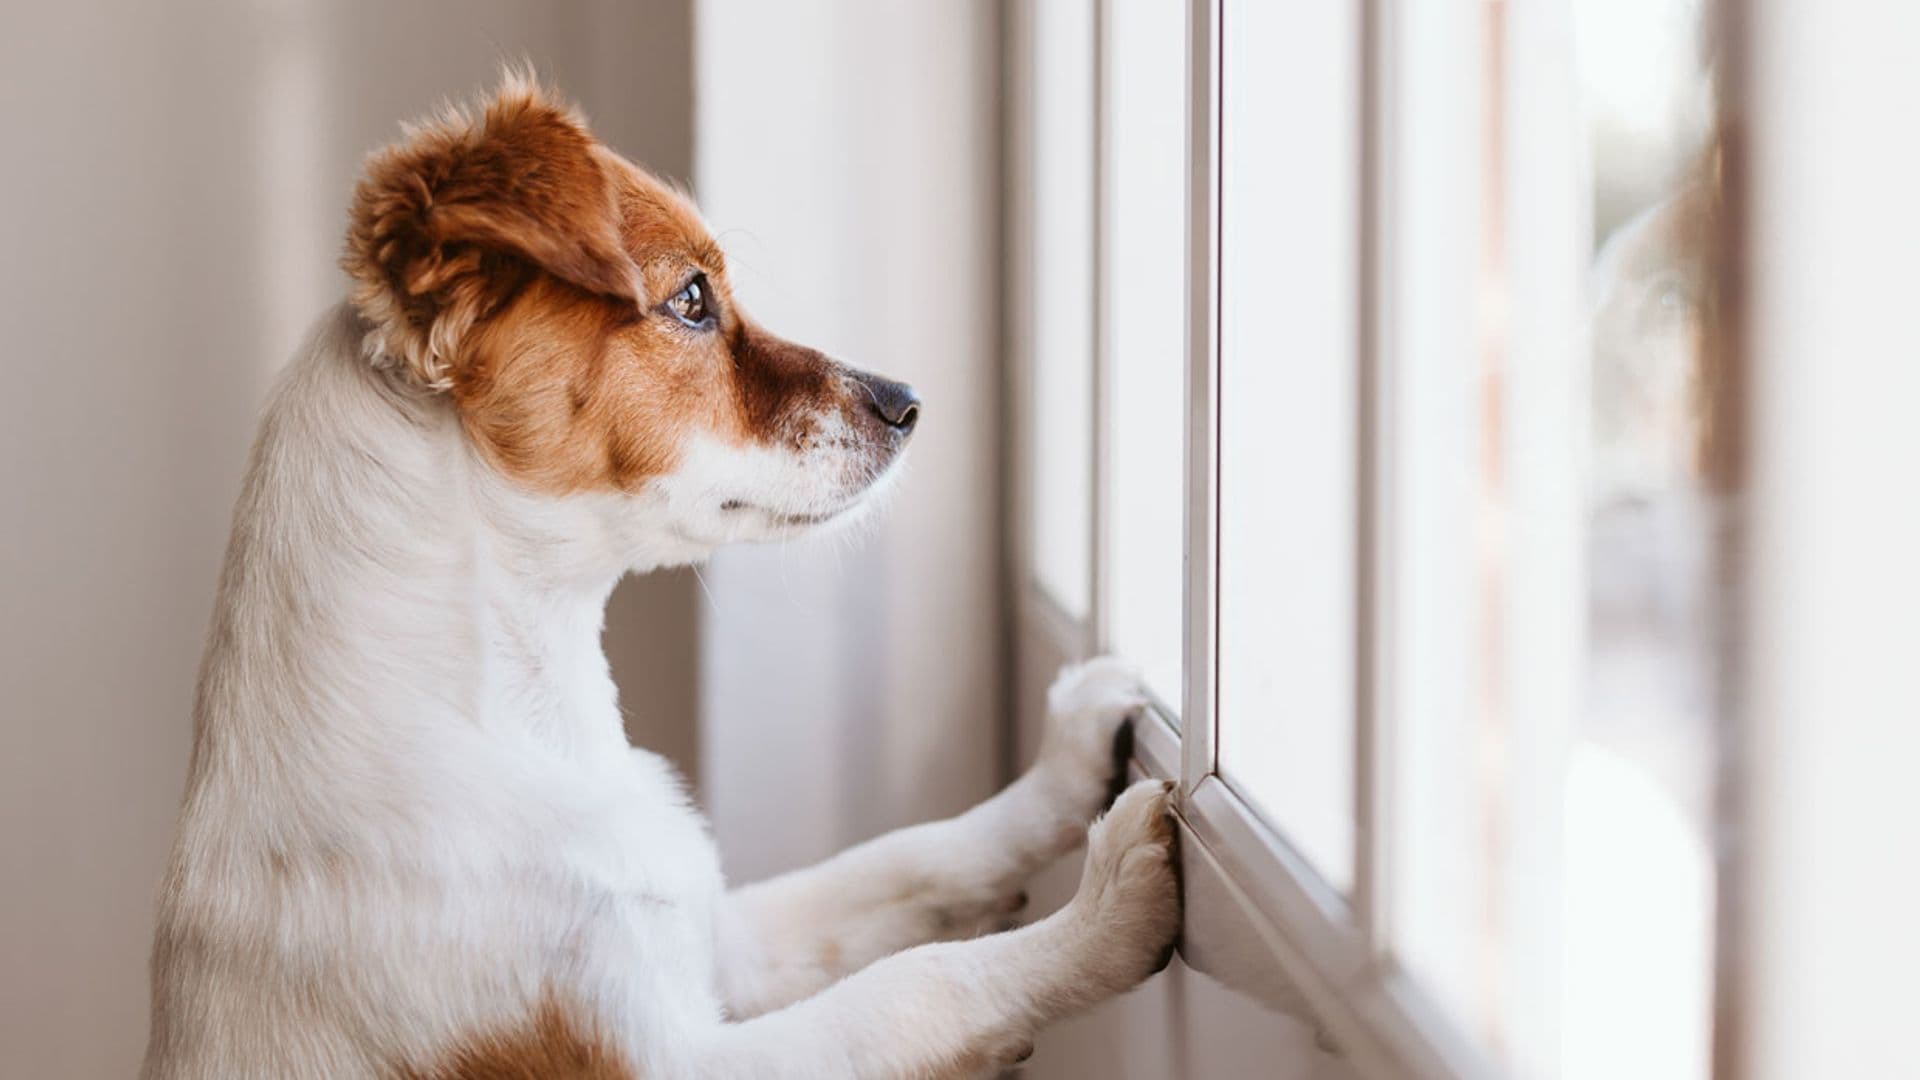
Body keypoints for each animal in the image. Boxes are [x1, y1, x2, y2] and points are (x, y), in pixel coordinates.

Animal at [135, 71, 1175, 1068]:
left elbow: (910, 860)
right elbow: (918, 987)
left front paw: (1065, 765)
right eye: (690, 301)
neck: (528, 721)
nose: (908, 402)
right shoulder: (671, 1055)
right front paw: (1104, 912)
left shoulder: (721, 942)